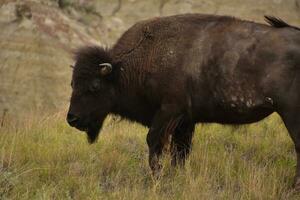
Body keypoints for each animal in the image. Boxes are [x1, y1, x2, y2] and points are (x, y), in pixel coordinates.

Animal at [66, 14, 300, 188]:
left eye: (94, 86)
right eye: (72, 84)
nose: (72, 119)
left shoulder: (168, 112)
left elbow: (155, 143)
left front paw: (157, 178)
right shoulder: (185, 122)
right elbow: (180, 153)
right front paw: (174, 177)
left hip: (290, 113)